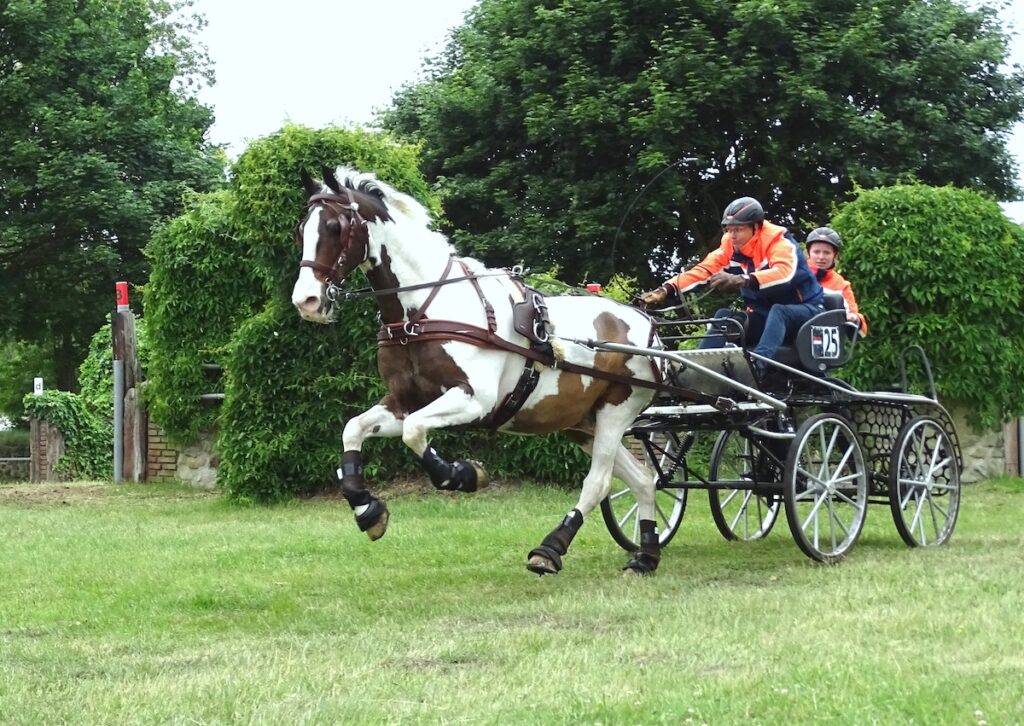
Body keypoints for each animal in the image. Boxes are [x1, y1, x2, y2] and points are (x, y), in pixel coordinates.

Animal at [292, 166, 667, 573]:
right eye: (301, 230)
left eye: (335, 227)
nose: (305, 301)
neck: (423, 313)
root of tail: (647, 326)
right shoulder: (403, 401)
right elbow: (354, 429)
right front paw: (367, 510)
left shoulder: (474, 400)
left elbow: (414, 431)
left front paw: (462, 475)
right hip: (583, 423)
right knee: (643, 480)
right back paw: (646, 554)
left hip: (617, 410)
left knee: (599, 483)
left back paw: (552, 547)